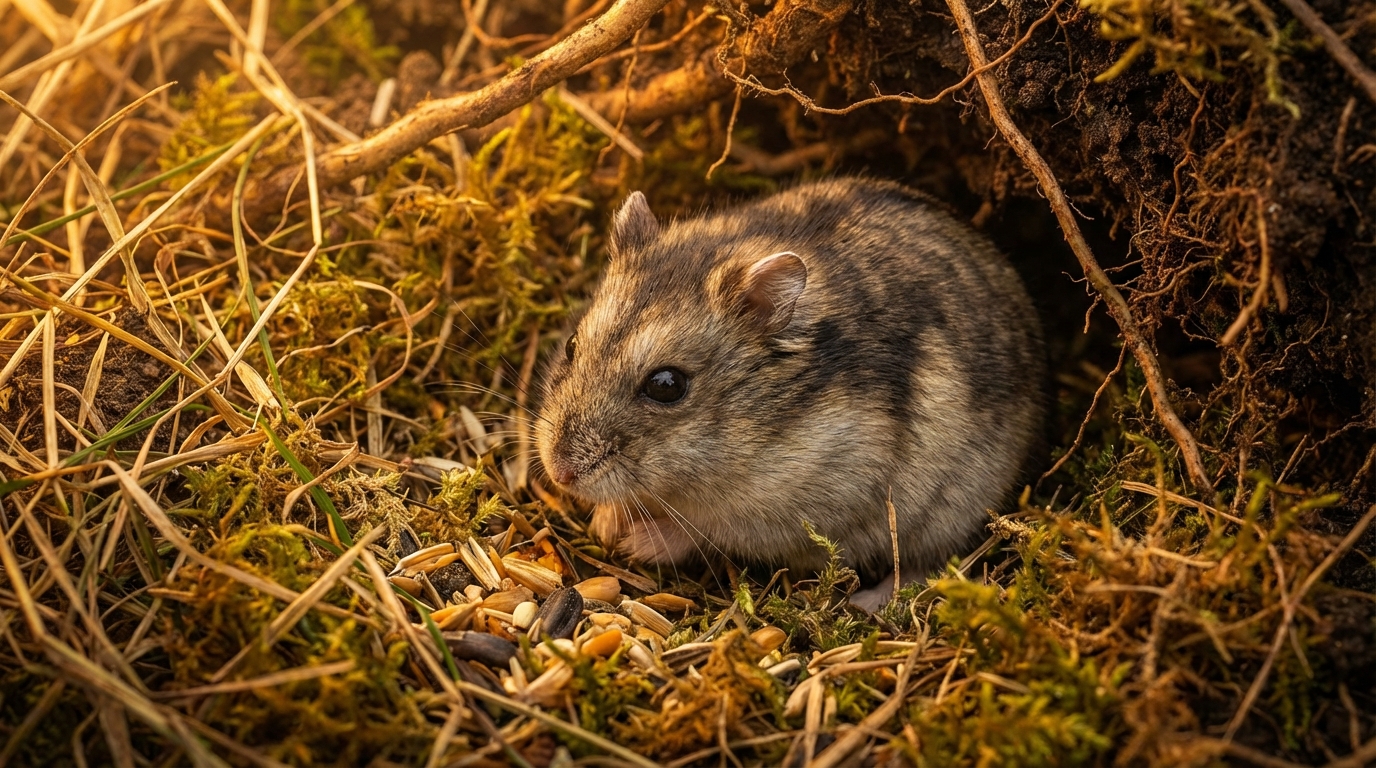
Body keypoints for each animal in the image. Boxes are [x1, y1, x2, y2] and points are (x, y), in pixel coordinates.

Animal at [535, 178, 1044, 606]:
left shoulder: (805, 503)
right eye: (572, 344)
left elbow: (703, 528)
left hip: (951, 511)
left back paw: (867, 603)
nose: (560, 474)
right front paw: (606, 522)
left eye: (667, 385)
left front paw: (632, 540)